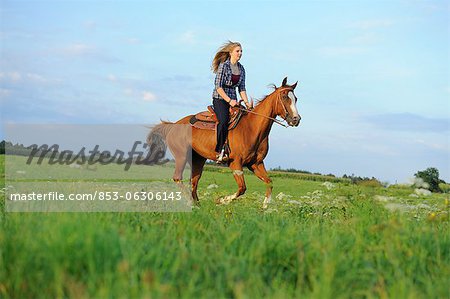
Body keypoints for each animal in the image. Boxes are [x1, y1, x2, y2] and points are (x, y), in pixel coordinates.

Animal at [148, 77, 300, 209]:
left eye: (296, 98)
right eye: (285, 97)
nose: (296, 119)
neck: (252, 128)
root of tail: (173, 125)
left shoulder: (256, 164)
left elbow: (269, 183)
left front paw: (264, 207)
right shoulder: (235, 163)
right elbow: (242, 188)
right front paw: (221, 200)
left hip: (198, 159)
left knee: (194, 181)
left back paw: (197, 205)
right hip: (181, 156)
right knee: (178, 178)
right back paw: (190, 203)